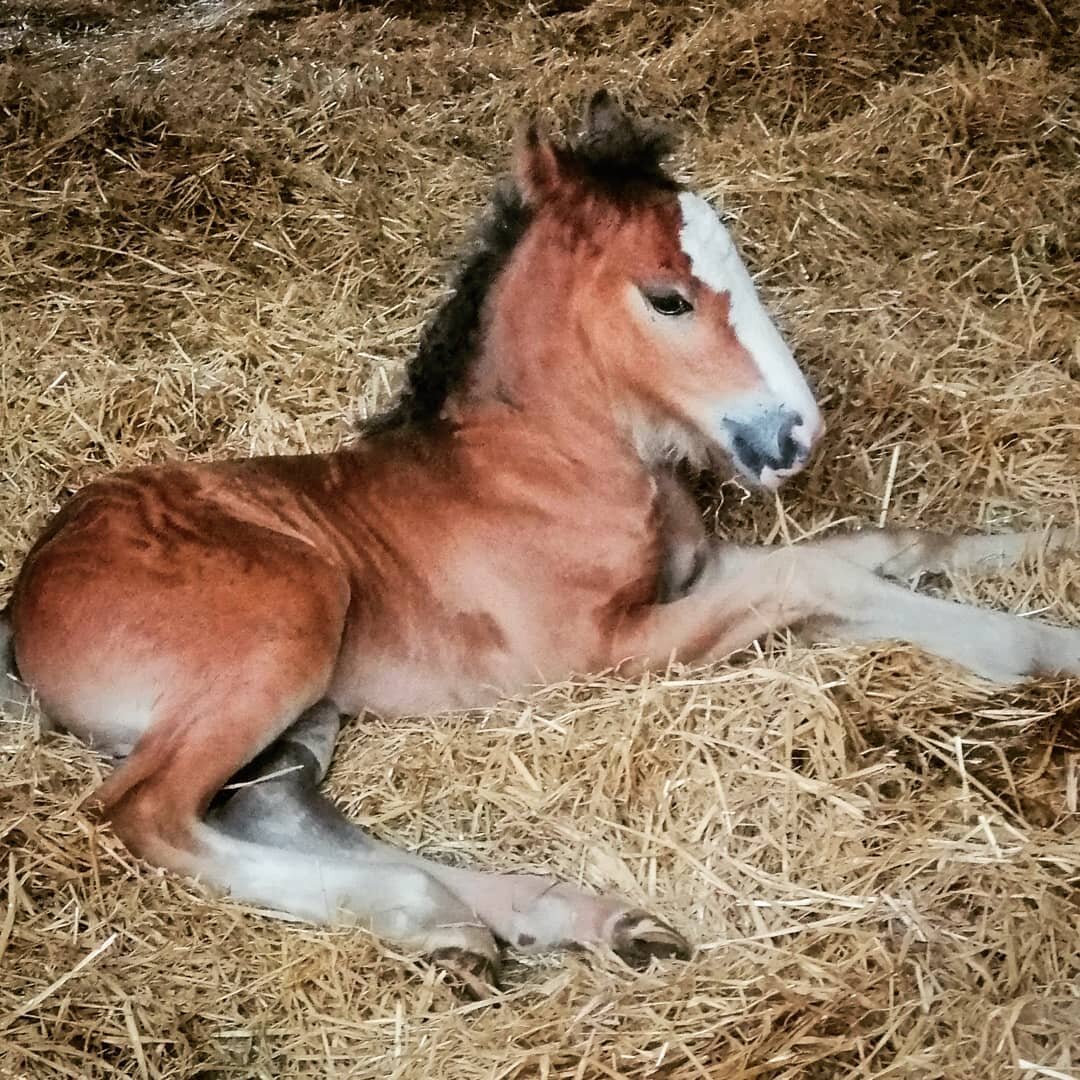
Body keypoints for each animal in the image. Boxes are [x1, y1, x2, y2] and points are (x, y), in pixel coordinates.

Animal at [4, 97, 1075, 989]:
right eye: (668, 297)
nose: (796, 436)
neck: (546, 462)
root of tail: (24, 601)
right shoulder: (604, 649)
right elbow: (823, 572)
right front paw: (1034, 647)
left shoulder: (701, 575)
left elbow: (881, 548)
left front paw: (1048, 547)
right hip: (288, 617)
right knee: (148, 812)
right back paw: (444, 916)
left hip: (303, 716)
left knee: (268, 804)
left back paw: (552, 921)